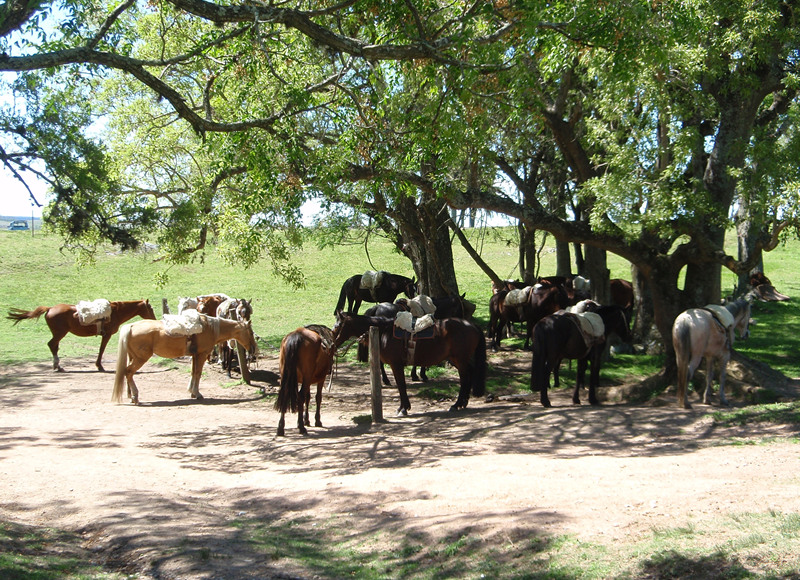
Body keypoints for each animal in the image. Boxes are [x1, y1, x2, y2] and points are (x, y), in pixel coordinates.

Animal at [7, 300, 156, 372]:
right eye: (151, 308)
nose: (154, 319)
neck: (115, 312)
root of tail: (50, 309)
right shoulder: (106, 335)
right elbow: (101, 349)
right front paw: (99, 366)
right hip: (60, 333)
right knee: (52, 345)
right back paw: (57, 366)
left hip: (58, 334)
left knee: (54, 346)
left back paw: (58, 366)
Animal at [112, 312, 255, 404]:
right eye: (251, 332)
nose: (253, 348)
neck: (209, 328)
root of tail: (131, 326)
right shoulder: (201, 355)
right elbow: (198, 373)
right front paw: (197, 394)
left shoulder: (195, 356)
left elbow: (193, 373)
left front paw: (191, 391)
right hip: (141, 358)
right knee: (128, 372)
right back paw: (135, 397)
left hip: (133, 357)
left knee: (128, 374)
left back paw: (131, 396)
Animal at [332, 312, 488, 416]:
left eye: (337, 326)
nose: (332, 345)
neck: (384, 331)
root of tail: (472, 325)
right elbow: (401, 385)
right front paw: (403, 407)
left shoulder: (396, 365)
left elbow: (401, 385)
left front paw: (403, 408)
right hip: (458, 360)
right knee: (470, 373)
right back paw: (463, 403)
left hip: (459, 359)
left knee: (465, 378)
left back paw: (457, 404)